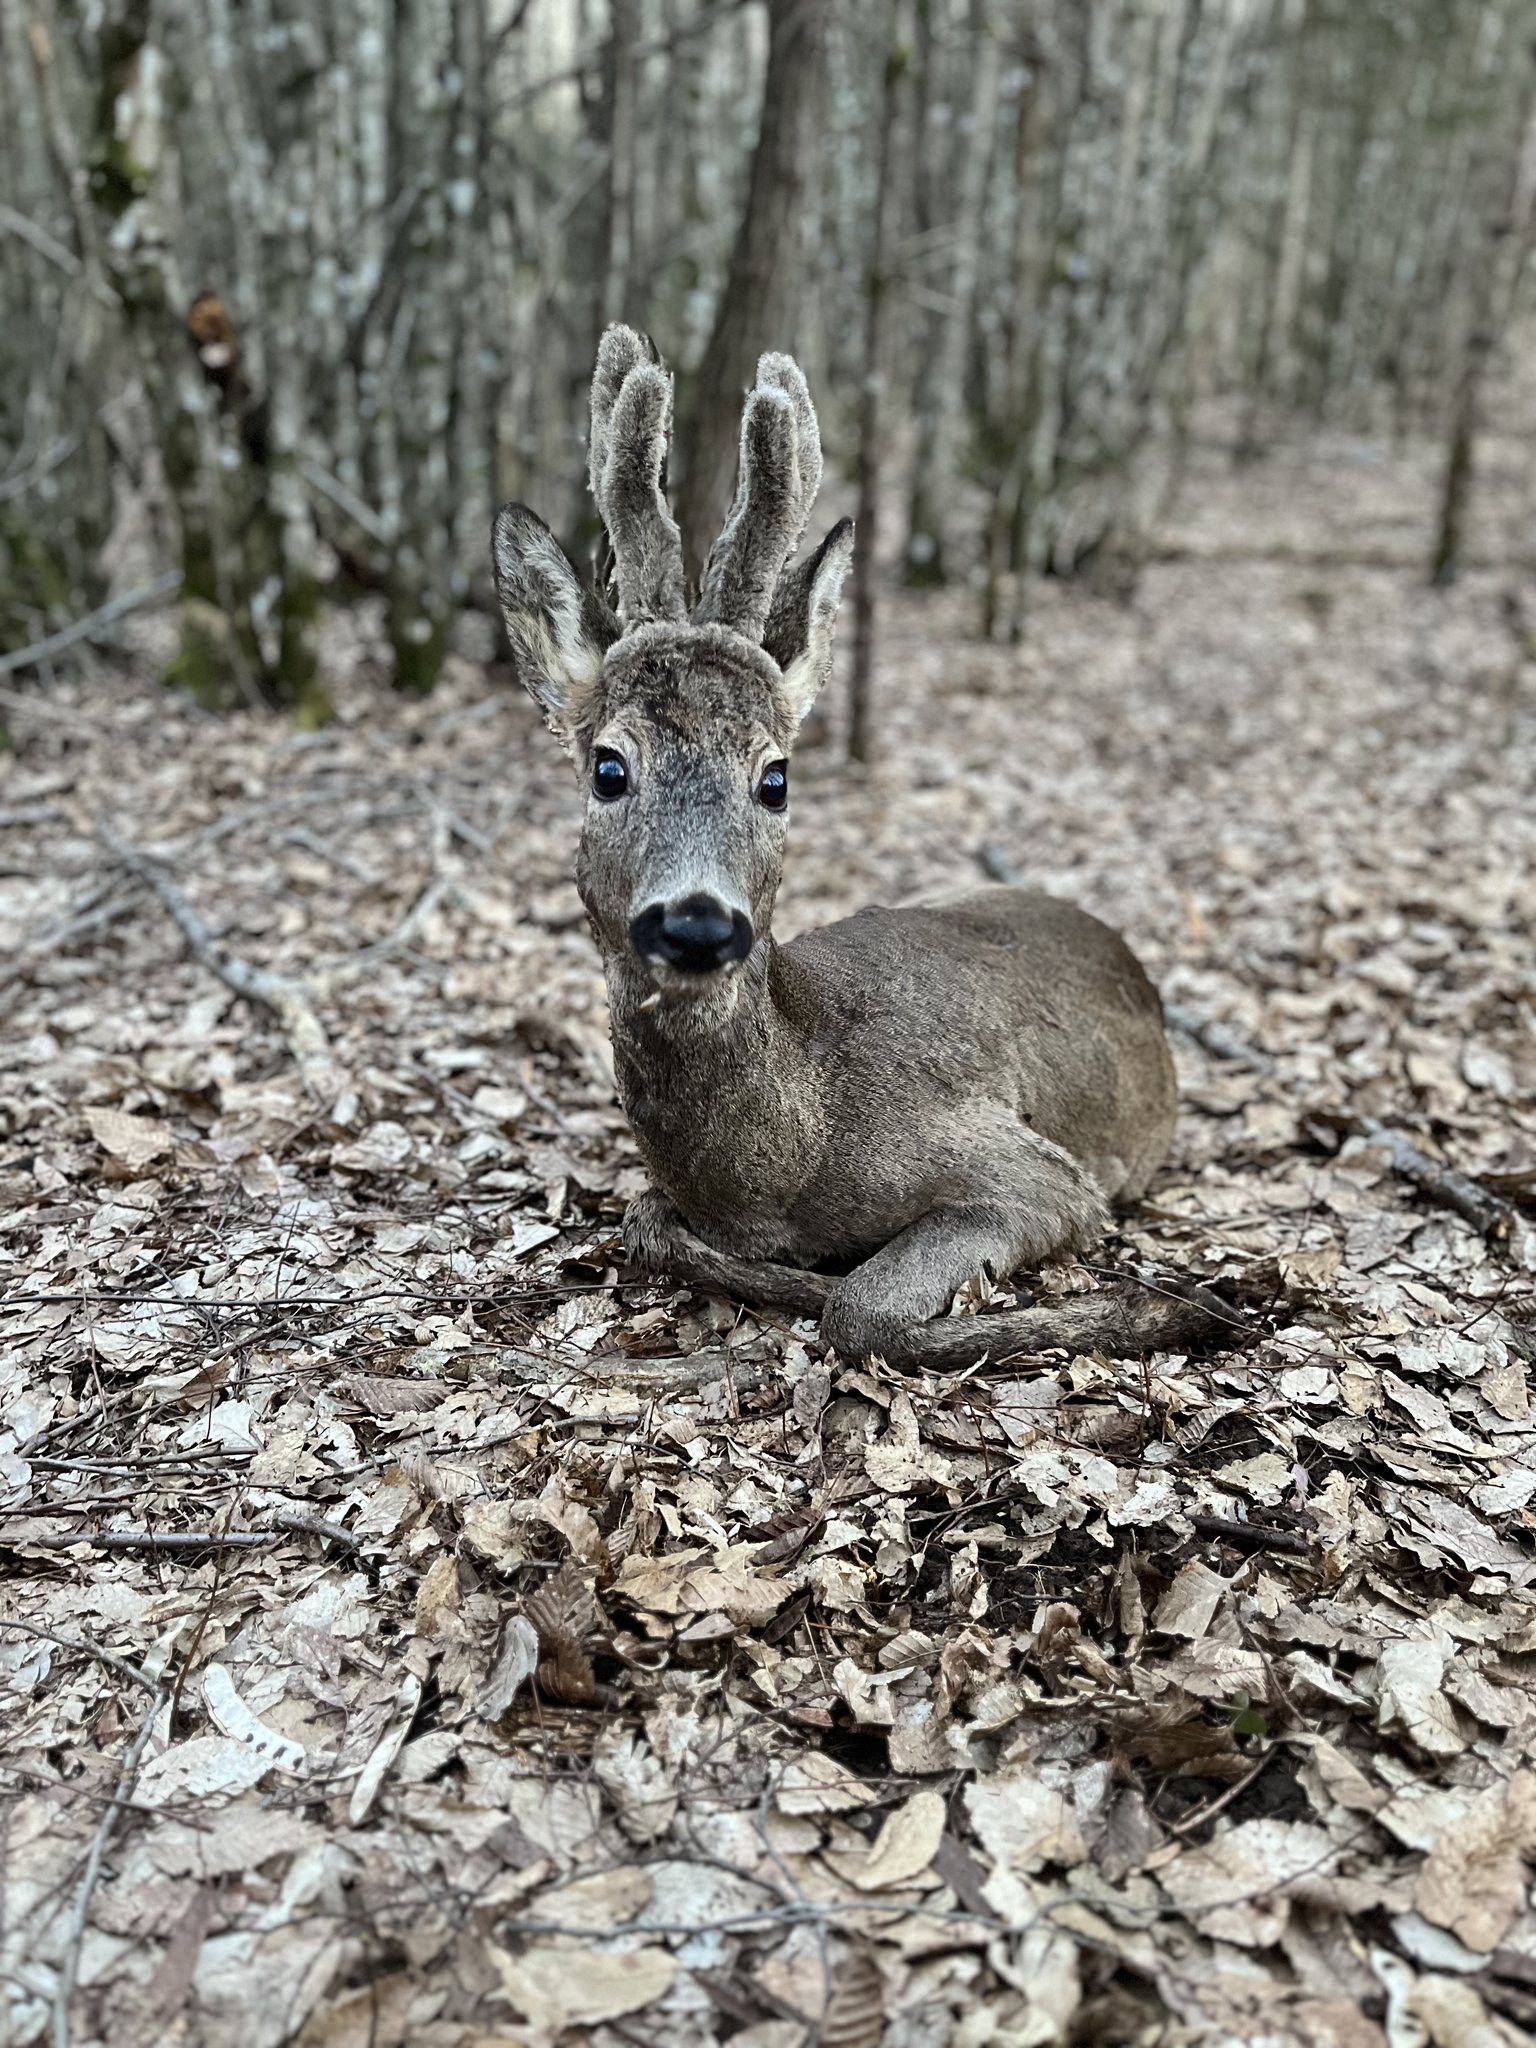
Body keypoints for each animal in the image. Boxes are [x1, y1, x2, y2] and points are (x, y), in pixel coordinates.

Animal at [495, 327, 1228, 1368]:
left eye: (776, 777)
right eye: (607, 767)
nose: (695, 922)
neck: (791, 1152)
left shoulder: (1037, 1170)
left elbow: (860, 1309)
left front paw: (1188, 1307)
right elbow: (648, 1227)